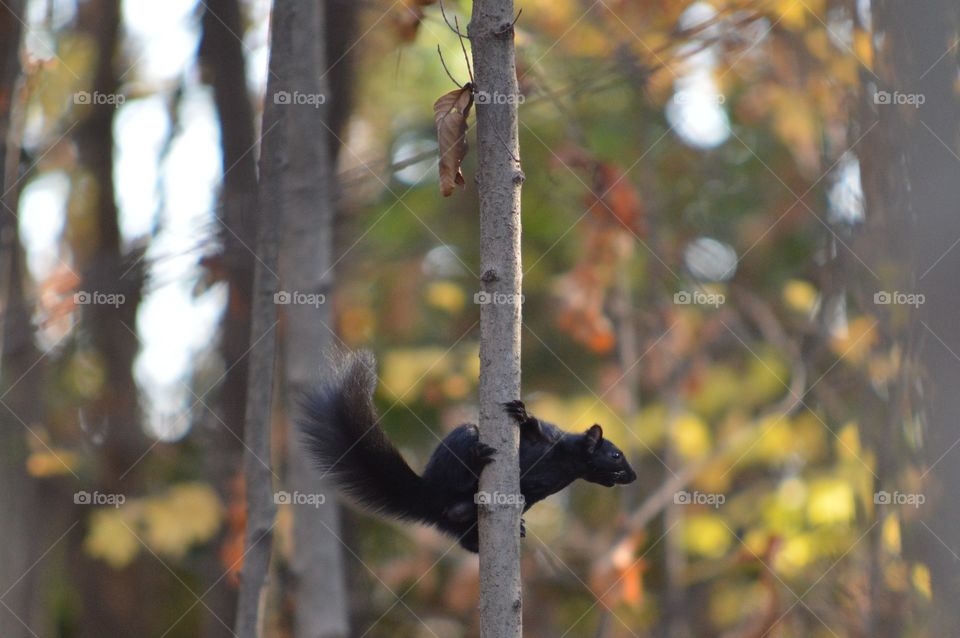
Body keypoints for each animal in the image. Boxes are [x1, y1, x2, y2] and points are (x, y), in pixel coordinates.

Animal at [300, 350, 637, 552]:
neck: (567, 465)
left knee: (465, 537)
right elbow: (533, 428)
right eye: (616, 455)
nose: (633, 477)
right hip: (461, 444)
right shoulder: (549, 437)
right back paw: (476, 461)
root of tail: (428, 495)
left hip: (459, 519)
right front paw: (522, 413)